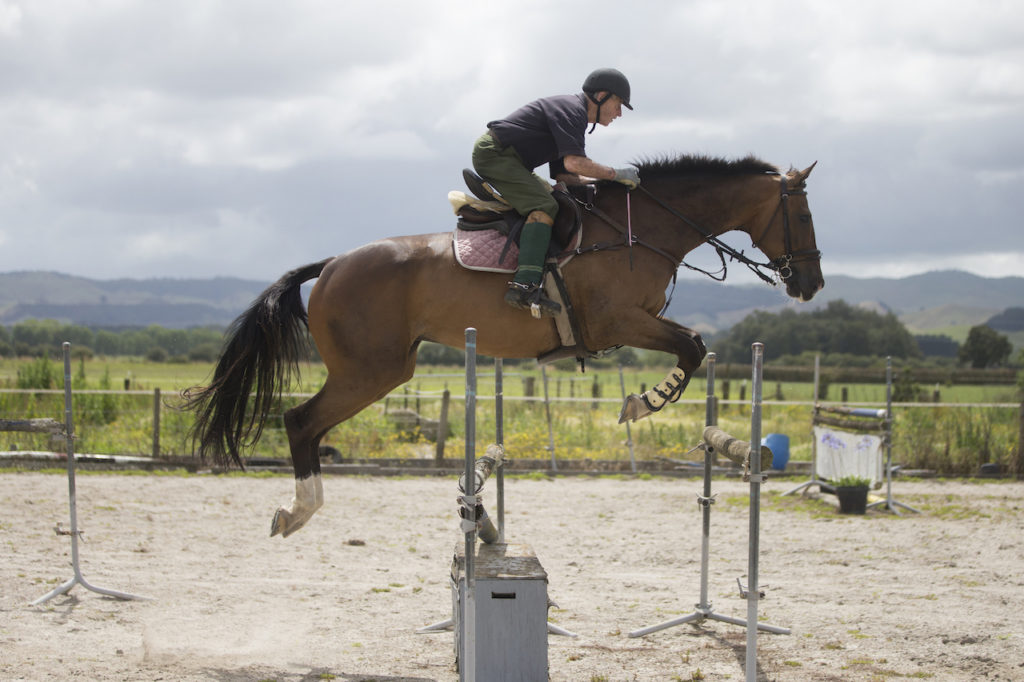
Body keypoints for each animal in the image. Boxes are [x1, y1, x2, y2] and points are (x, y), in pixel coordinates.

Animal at [184, 152, 823, 536]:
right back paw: (299, 509)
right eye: (804, 217)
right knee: (301, 422)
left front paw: (643, 400)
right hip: (372, 371)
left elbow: (692, 345)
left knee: (310, 425)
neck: (640, 229)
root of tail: (333, 264)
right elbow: (691, 345)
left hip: (380, 370)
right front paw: (642, 403)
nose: (811, 285)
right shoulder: (618, 321)